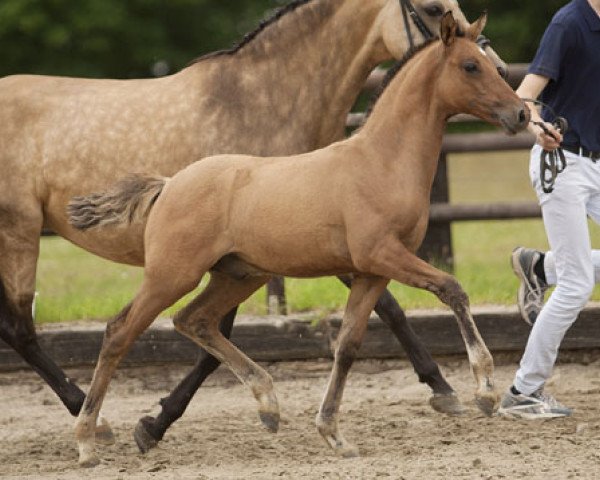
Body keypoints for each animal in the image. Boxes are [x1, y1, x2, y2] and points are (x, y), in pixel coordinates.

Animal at [0, 0, 506, 450]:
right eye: (469, 65)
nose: (517, 110)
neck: (377, 159)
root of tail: (169, 182)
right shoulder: (377, 254)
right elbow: (446, 290)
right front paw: (479, 389)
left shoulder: (368, 266)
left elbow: (360, 334)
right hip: (105, 257)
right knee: (89, 330)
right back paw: (92, 431)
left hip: (241, 273)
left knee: (192, 320)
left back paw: (261, 402)